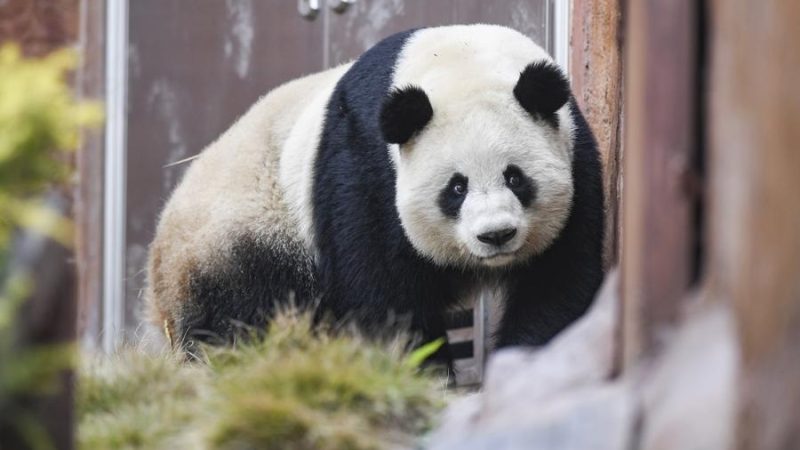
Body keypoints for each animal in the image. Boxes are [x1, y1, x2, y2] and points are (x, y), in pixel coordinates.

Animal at [145, 24, 604, 363]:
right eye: (456, 188)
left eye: (515, 178)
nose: (496, 235)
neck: (459, 61)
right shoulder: (366, 165)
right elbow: (382, 291)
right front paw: (419, 370)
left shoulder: (575, 156)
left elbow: (557, 279)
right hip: (242, 236)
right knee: (244, 316)